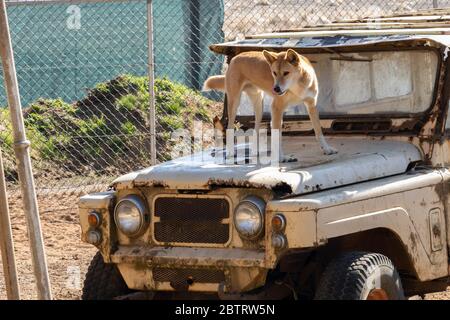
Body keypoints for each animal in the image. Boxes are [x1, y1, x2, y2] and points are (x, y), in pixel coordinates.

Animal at [204, 49, 338, 162]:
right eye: (274, 73)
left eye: (286, 73)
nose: (276, 89)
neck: (297, 87)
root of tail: (235, 58)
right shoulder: (276, 109)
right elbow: (277, 136)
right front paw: (282, 158)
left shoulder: (311, 106)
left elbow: (318, 131)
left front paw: (327, 149)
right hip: (234, 103)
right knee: (230, 127)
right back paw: (231, 152)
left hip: (259, 106)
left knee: (256, 129)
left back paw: (254, 151)